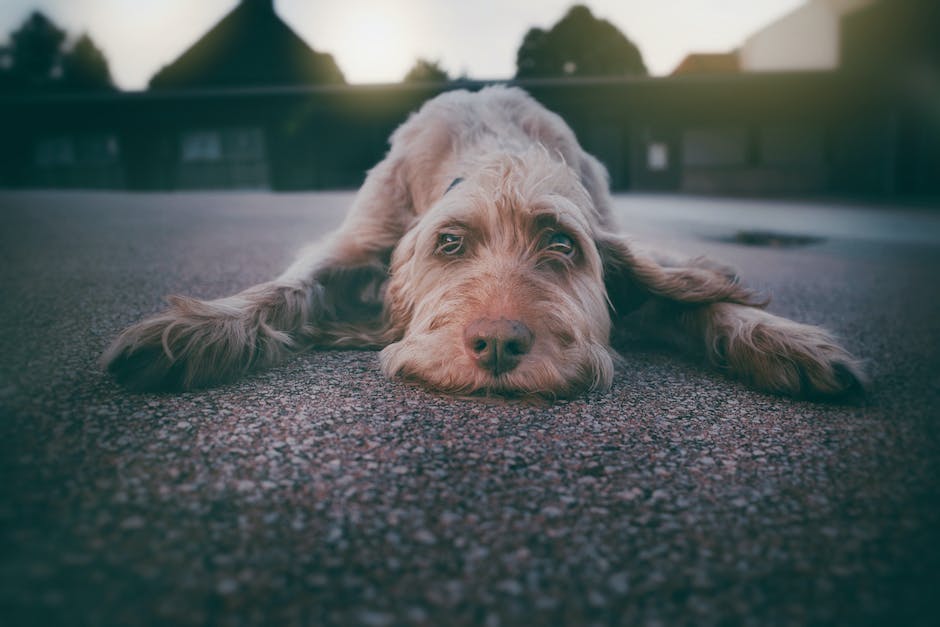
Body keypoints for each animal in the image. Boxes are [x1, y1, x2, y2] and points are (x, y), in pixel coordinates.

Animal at [101, 86, 860, 400]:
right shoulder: (360, 239)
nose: (497, 344)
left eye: (562, 245)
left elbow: (693, 299)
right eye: (449, 243)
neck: (502, 158)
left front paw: (780, 338)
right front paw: (200, 327)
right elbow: (289, 285)